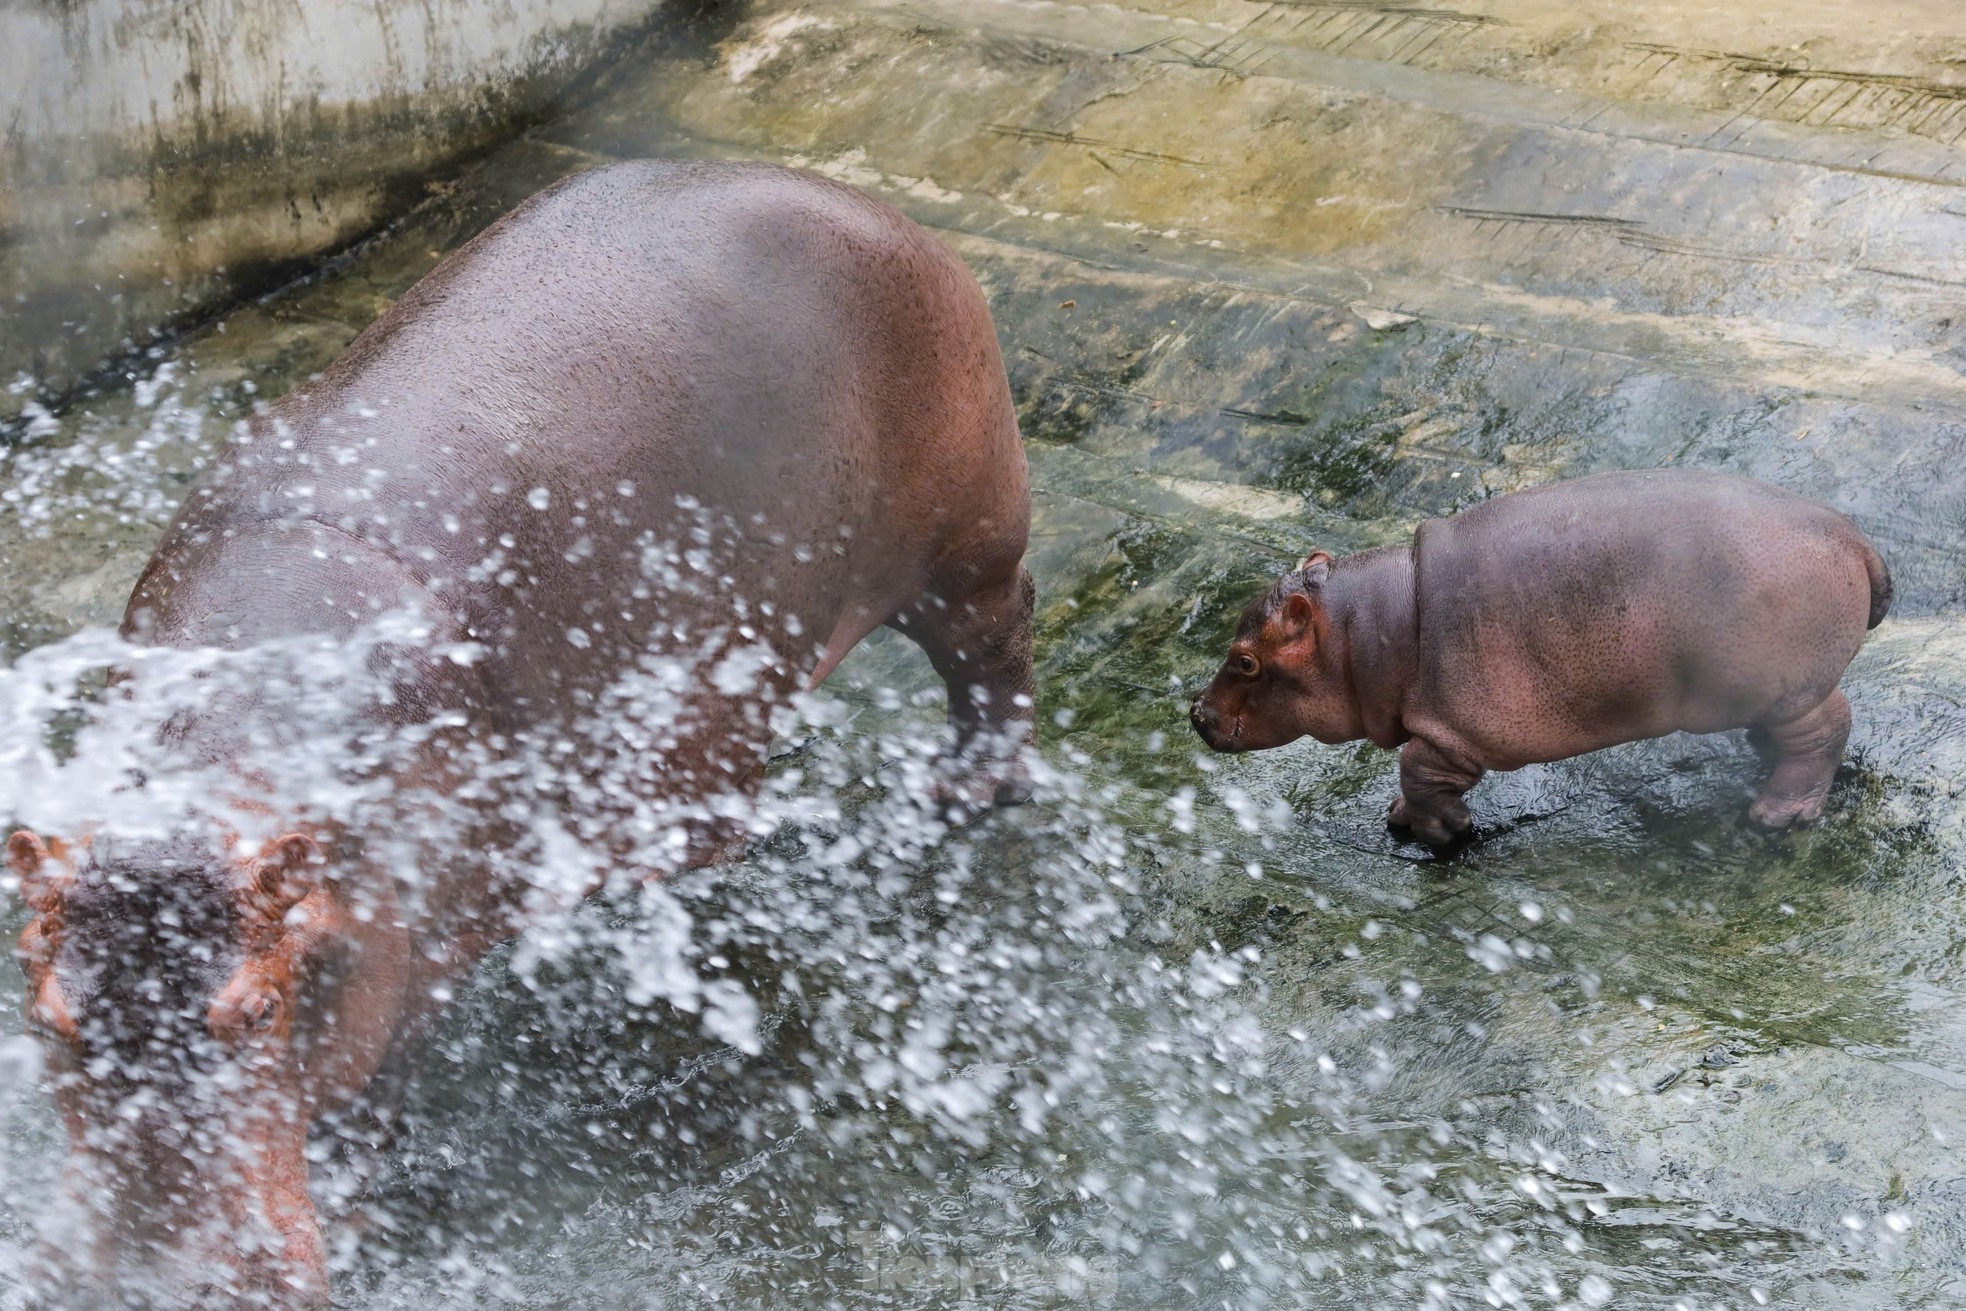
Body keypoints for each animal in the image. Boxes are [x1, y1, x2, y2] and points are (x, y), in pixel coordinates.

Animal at [7, 164, 1038, 1311]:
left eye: (259, 1013)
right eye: (45, 1021)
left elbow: (371, 1100)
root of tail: (861, 201)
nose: (142, 1280)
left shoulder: (409, 963)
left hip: (970, 543)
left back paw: (966, 793)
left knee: (995, 654)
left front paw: (358, 1210)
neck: (218, 757)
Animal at [1187, 471, 1895, 853]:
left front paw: (1439, 832)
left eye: (1245, 661)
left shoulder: (1455, 731)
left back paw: (1776, 816)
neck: (1373, 626)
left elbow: (1417, 769)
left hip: (1786, 684)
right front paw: (1399, 819)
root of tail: (1854, 536)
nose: (1193, 711)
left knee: (1827, 727)